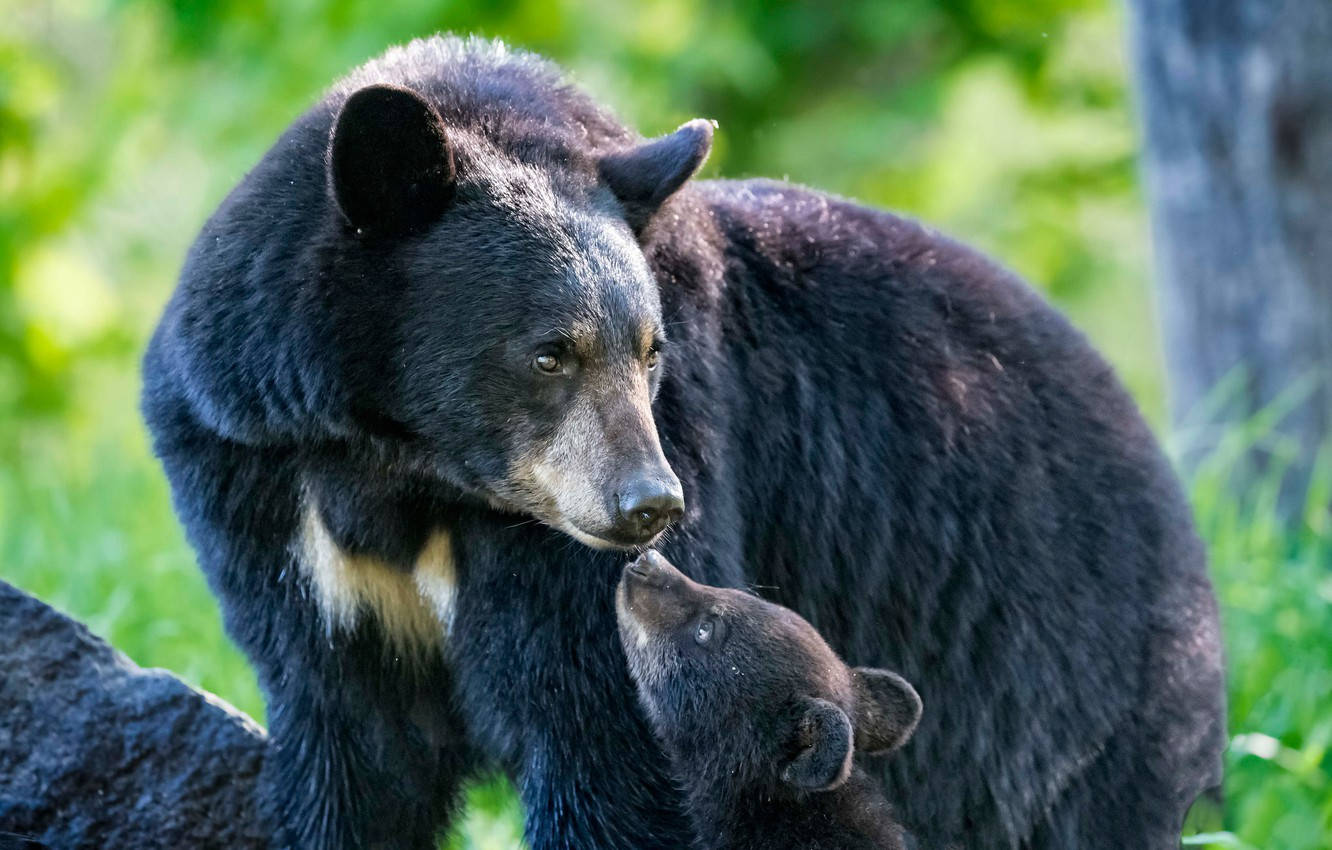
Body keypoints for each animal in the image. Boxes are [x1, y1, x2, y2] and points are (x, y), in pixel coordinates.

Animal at [140, 34, 1220, 850]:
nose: (649, 505)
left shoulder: (638, 485)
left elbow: (606, 734)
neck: (405, 467)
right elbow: (353, 741)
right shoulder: (262, 487)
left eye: (649, 347)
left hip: (1060, 683)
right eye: (549, 352)